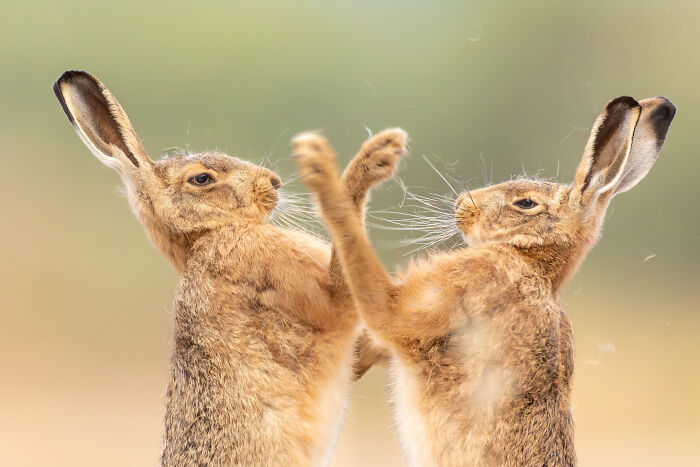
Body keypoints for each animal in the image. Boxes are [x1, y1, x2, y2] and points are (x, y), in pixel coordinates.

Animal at [293, 95, 675, 466]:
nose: (462, 204)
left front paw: (326, 167)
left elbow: (360, 257)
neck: (531, 260)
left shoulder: (440, 295)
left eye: (525, 203)